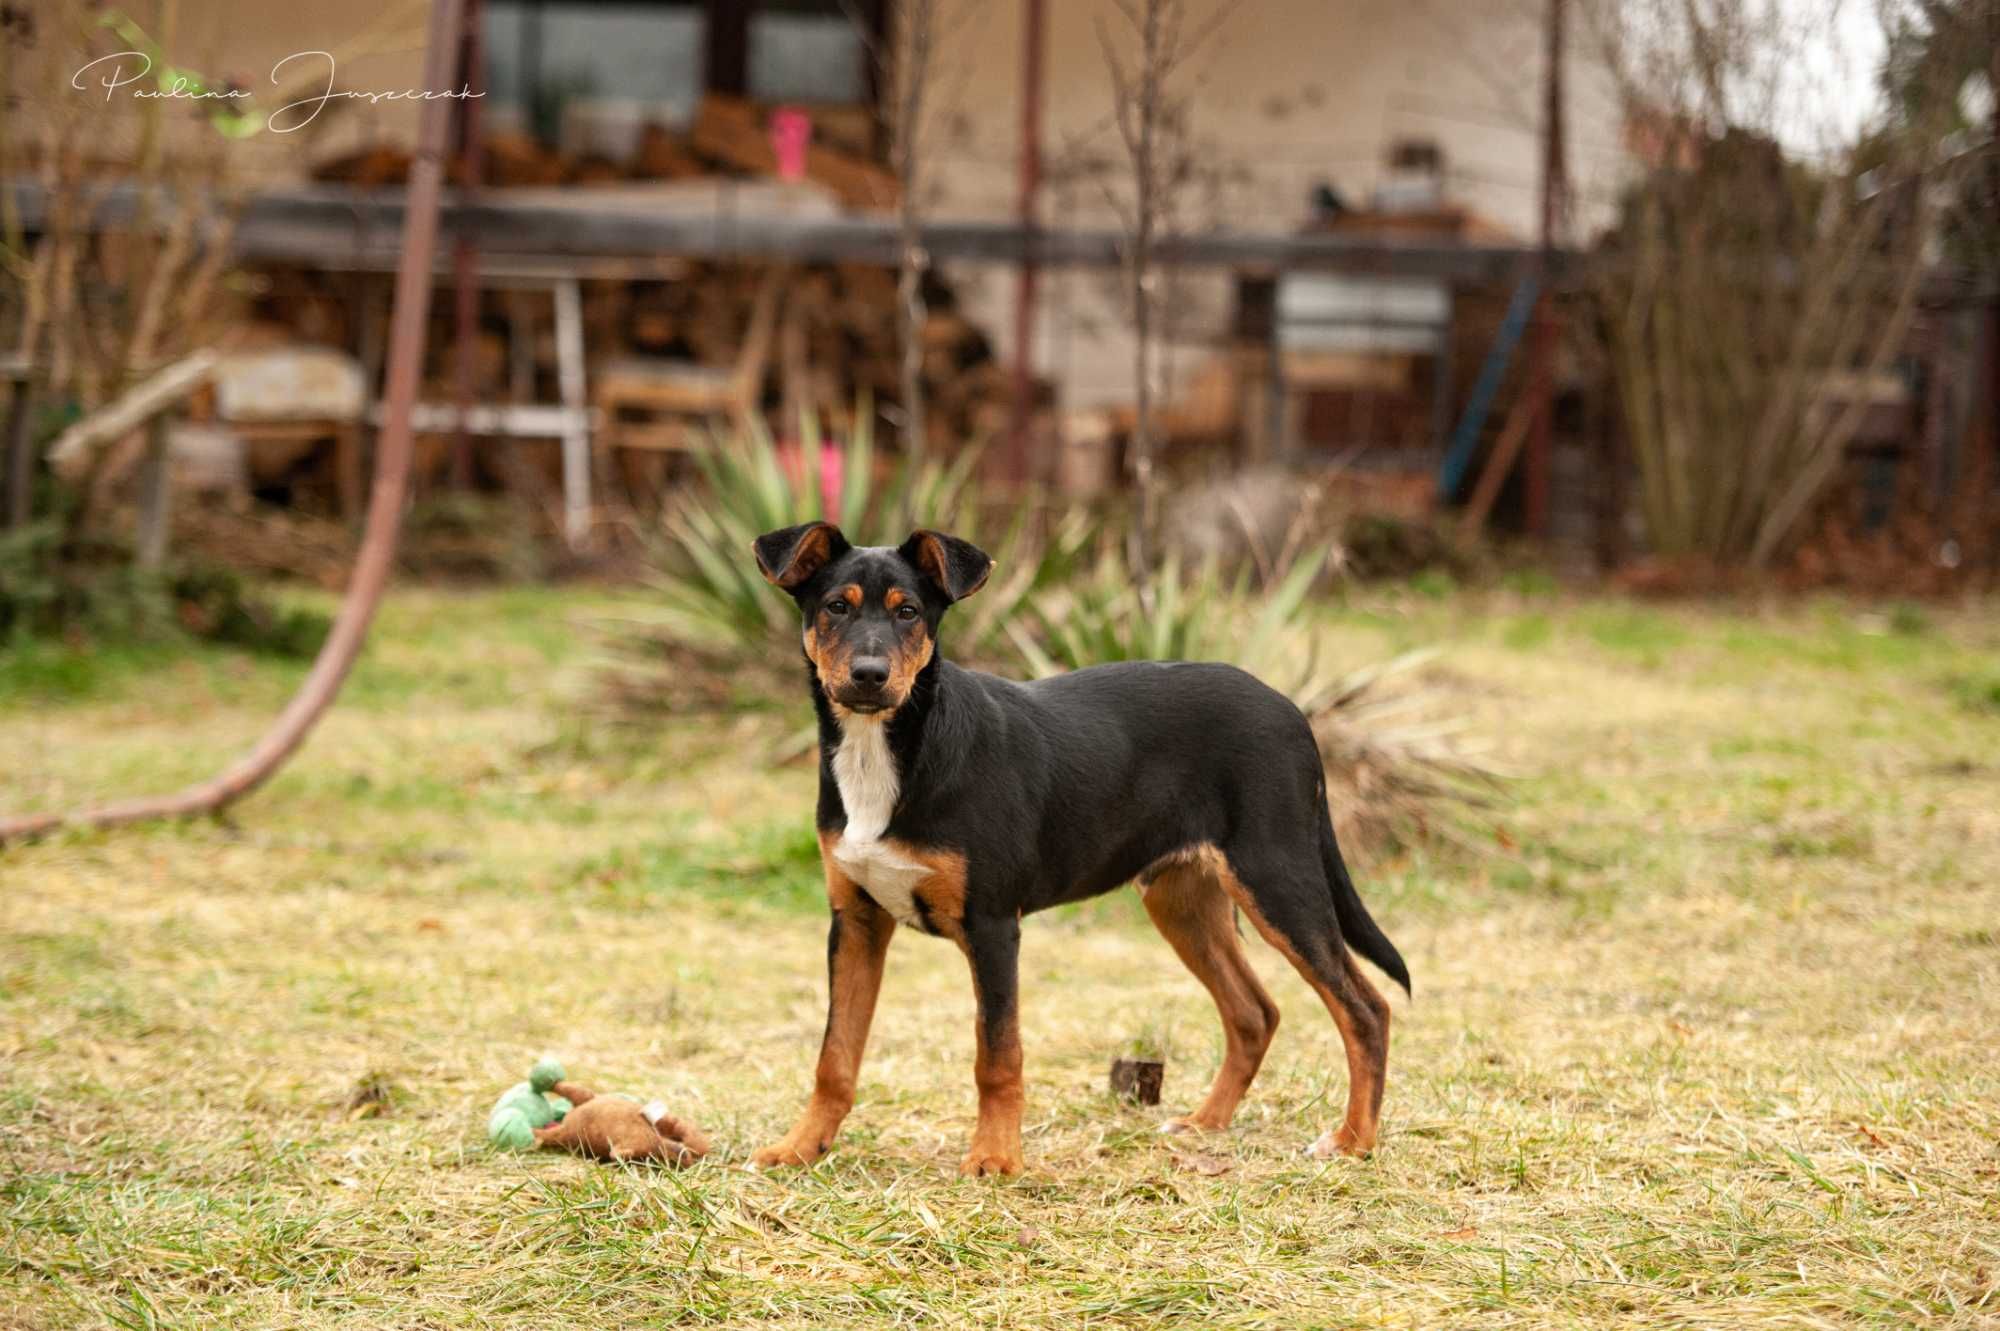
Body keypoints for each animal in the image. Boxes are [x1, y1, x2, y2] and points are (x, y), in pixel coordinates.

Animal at [748, 519, 1408, 1175]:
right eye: (835, 607)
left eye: (908, 611)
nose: (869, 674)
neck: (891, 749)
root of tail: (1292, 710)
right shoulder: (855, 921)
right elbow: (835, 1054)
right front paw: (801, 1147)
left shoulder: (992, 924)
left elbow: (997, 1053)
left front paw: (995, 1159)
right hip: (1182, 901)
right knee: (1254, 1012)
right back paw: (1204, 1123)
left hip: (1277, 878)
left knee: (1365, 1008)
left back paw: (1353, 1141)